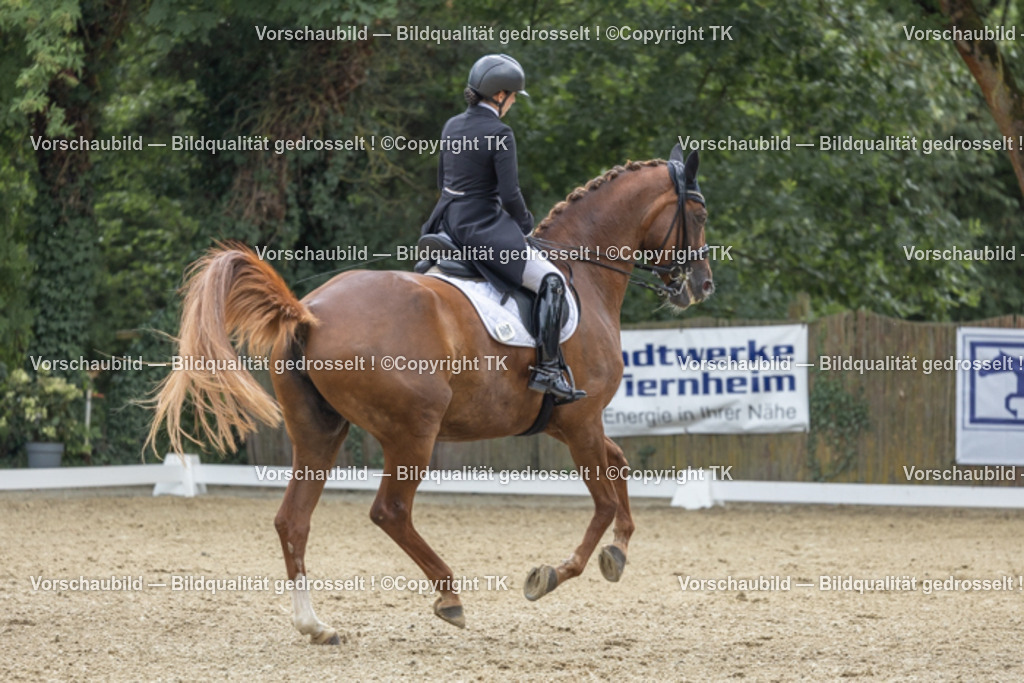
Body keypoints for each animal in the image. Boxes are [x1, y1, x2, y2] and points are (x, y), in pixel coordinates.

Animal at [147, 145, 713, 644]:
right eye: (700, 214)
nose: (701, 285)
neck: (585, 276)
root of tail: (310, 313)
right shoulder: (581, 420)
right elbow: (603, 498)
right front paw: (553, 573)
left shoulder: (570, 422)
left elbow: (619, 469)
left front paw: (618, 553)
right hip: (413, 430)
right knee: (390, 511)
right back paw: (449, 596)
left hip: (319, 432)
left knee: (293, 519)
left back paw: (316, 626)